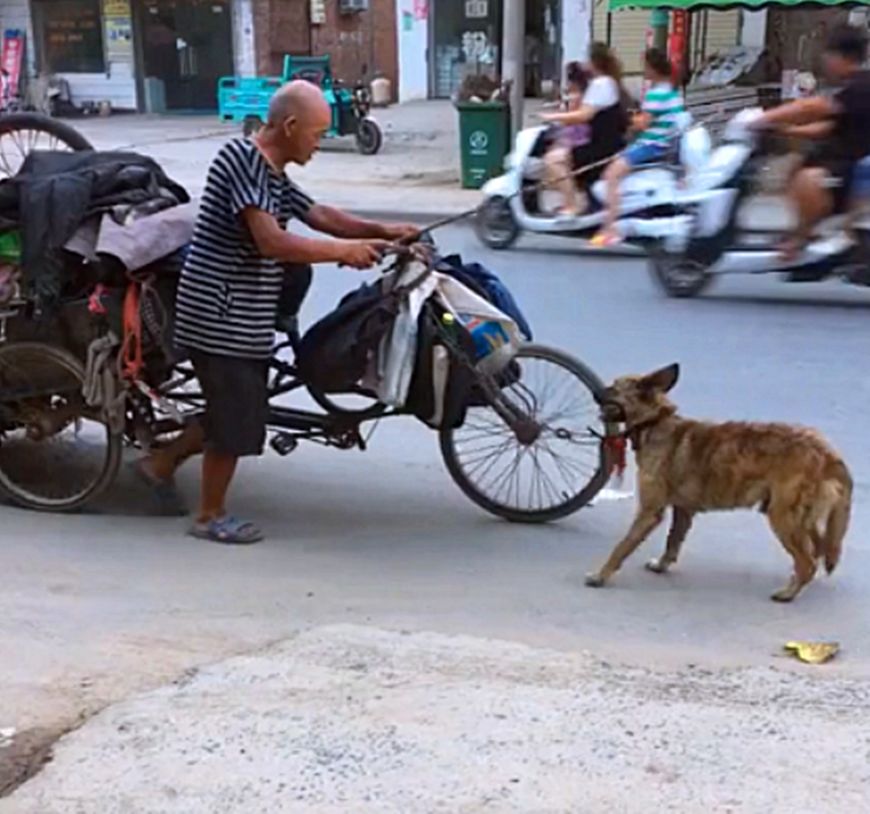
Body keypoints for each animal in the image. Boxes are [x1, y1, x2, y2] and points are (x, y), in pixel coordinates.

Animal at [584, 366, 852, 604]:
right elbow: (673, 541)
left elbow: (621, 547)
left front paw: (601, 576)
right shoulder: (683, 510)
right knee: (819, 548)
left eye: (614, 386)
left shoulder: (649, 512)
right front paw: (661, 565)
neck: (656, 422)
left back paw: (788, 593)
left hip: (783, 517)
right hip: (800, 518)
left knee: (808, 561)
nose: (595, 391)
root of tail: (829, 454)